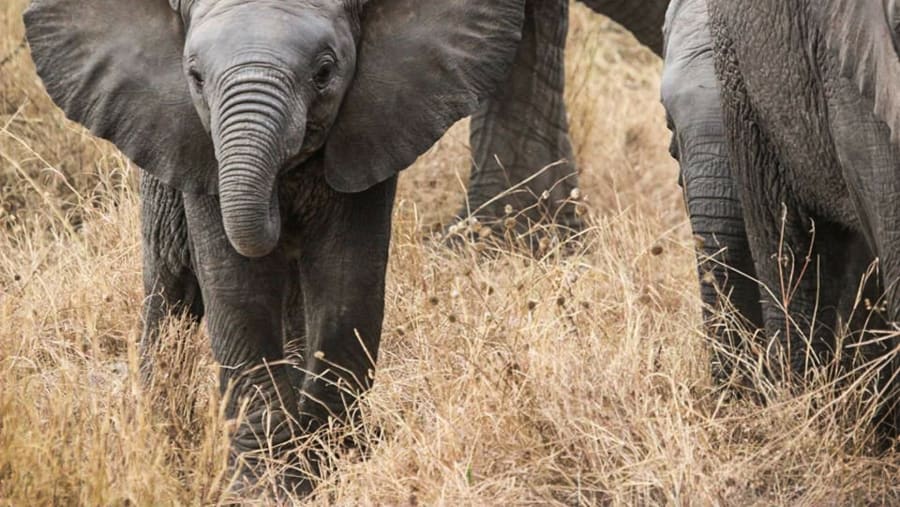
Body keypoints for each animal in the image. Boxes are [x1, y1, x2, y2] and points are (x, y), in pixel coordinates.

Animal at [24, 0, 527, 490]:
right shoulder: (196, 147)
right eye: (195, 77)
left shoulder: (374, 129)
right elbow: (237, 289)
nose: (279, 206)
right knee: (170, 287)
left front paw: (332, 470)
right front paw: (264, 486)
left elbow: (346, 282)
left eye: (324, 72)